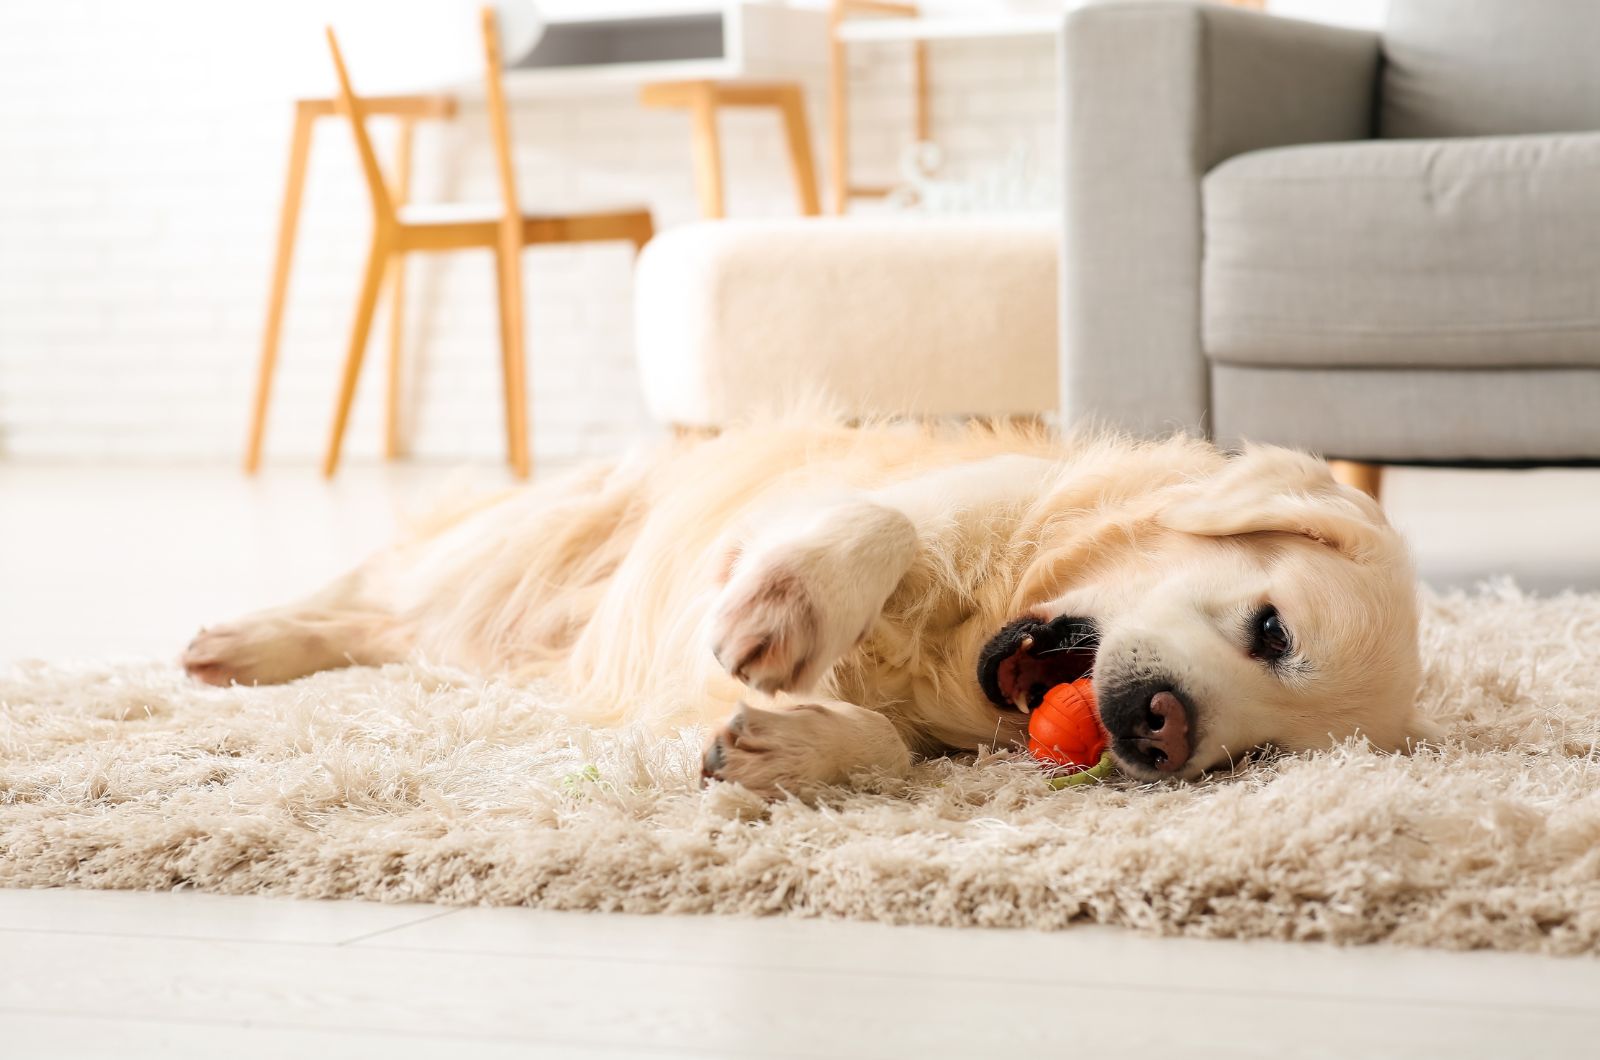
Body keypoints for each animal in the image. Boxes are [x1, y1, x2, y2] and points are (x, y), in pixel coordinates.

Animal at [181, 422, 1433, 797]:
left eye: (1254, 756)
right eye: (1270, 628)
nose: (1166, 729)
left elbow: (889, 744)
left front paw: (791, 746)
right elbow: (876, 526)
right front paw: (787, 611)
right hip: (518, 552)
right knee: (372, 598)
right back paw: (240, 642)